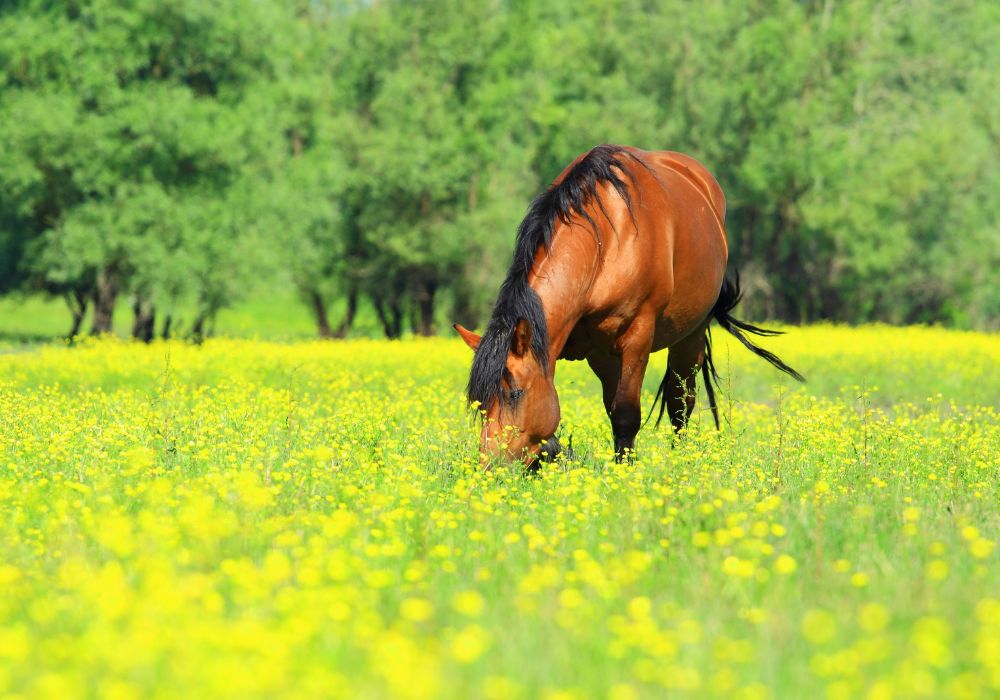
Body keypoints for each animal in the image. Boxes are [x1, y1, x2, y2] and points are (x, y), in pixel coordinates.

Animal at [455, 144, 803, 466]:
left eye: (515, 393)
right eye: (480, 403)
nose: (490, 466)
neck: (605, 245)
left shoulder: (635, 338)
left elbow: (625, 415)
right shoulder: (597, 351)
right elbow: (599, 415)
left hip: (690, 335)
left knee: (681, 404)